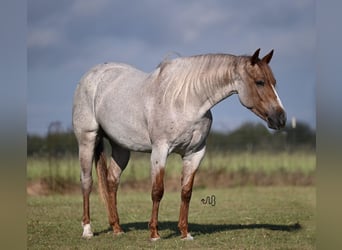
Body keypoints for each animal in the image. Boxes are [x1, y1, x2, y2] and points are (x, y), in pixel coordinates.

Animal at [72, 48, 286, 240]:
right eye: (260, 82)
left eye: (274, 82)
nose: (281, 119)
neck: (186, 101)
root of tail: (93, 75)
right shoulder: (160, 151)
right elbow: (157, 191)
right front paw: (154, 234)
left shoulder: (195, 153)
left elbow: (186, 192)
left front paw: (185, 233)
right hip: (87, 139)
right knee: (87, 182)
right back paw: (87, 230)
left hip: (121, 147)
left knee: (112, 181)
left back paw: (117, 228)